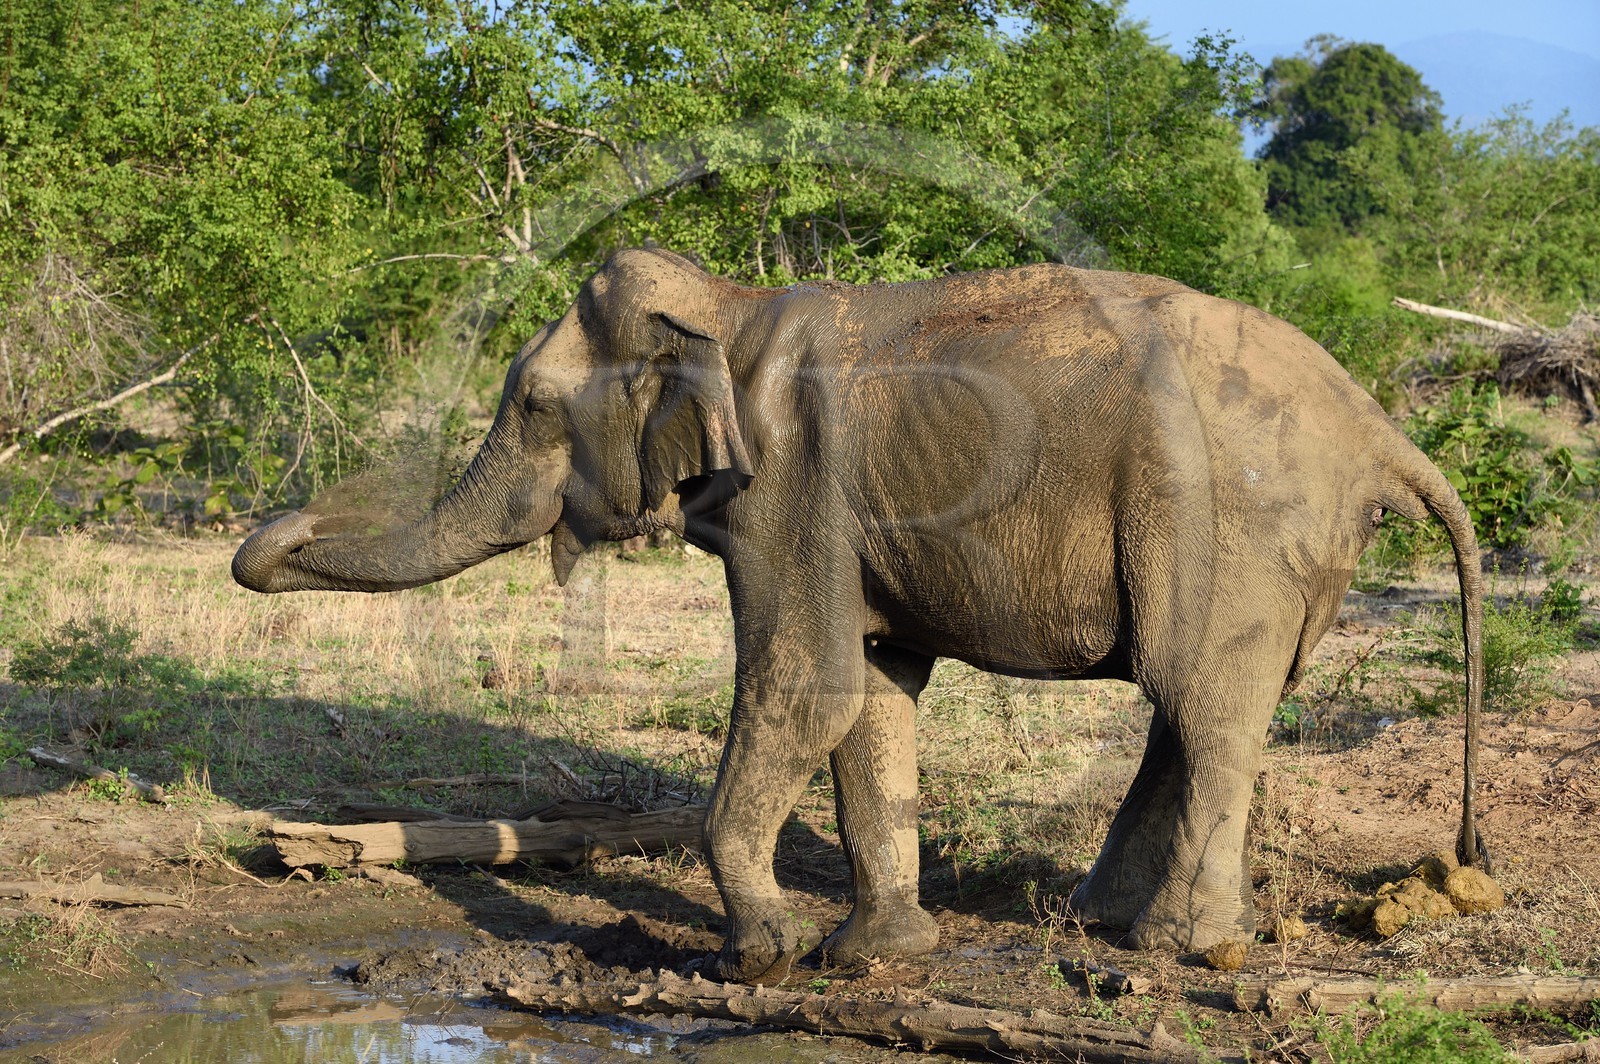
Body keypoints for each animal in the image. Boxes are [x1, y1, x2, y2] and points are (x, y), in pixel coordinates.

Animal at [234, 247, 1486, 981]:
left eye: (536, 404)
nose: (278, 532)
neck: (725, 311)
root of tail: (1378, 426)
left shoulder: (793, 485)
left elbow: (806, 682)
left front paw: (763, 958)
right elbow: (874, 686)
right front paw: (868, 956)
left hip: (1228, 521)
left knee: (1203, 702)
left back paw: (1187, 946)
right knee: (1194, 706)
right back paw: (1104, 922)